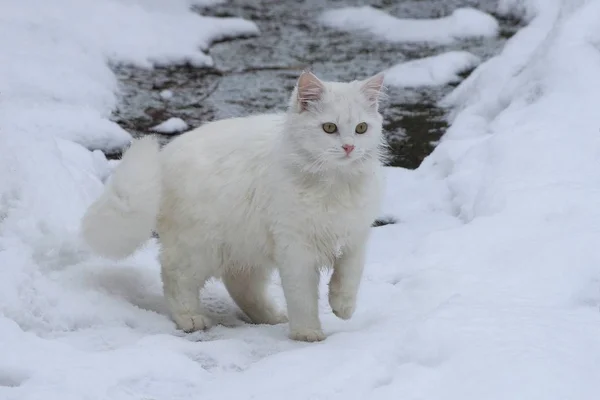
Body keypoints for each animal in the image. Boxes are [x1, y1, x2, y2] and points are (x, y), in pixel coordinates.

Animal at [82, 71, 386, 340]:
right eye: (329, 128)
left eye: (361, 128)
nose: (349, 147)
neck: (334, 183)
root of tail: (162, 158)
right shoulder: (296, 248)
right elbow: (303, 297)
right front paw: (307, 333)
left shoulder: (354, 238)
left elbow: (349, 278)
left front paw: (343, 308)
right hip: (199, 248)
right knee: (175, 278)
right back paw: (191, 318)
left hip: (246, 247)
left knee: (241, 287)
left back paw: (271, 317)